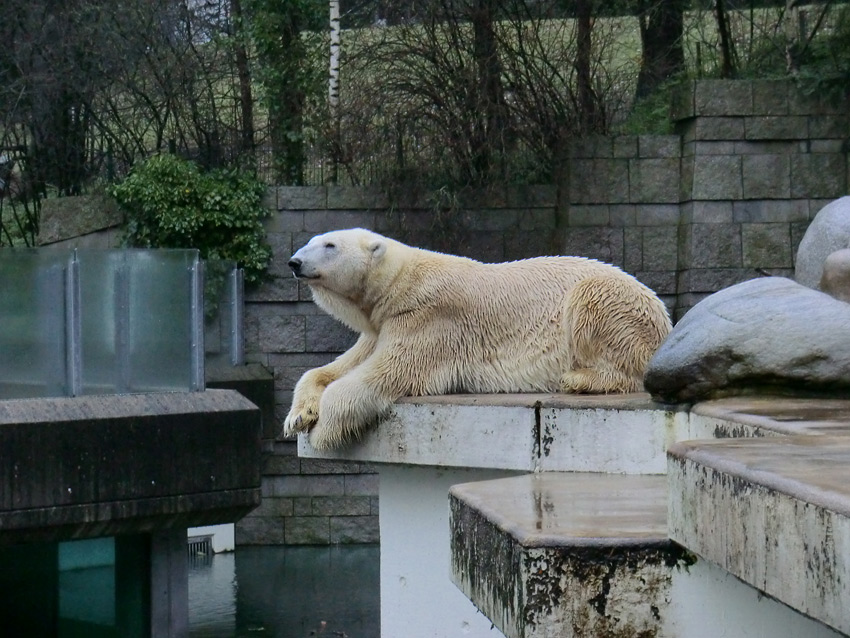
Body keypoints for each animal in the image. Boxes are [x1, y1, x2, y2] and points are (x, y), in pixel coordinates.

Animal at [284, 229, 668, 450]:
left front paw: (322, 431)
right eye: (311, 241)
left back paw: (579, 379)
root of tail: (662, 318)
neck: (399, 283)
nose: (294, 262)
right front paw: (298, 417)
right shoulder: (380, 325)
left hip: (616, 306)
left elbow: (388, 372)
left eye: (330, 245)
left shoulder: (428, 320)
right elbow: (331, 369)